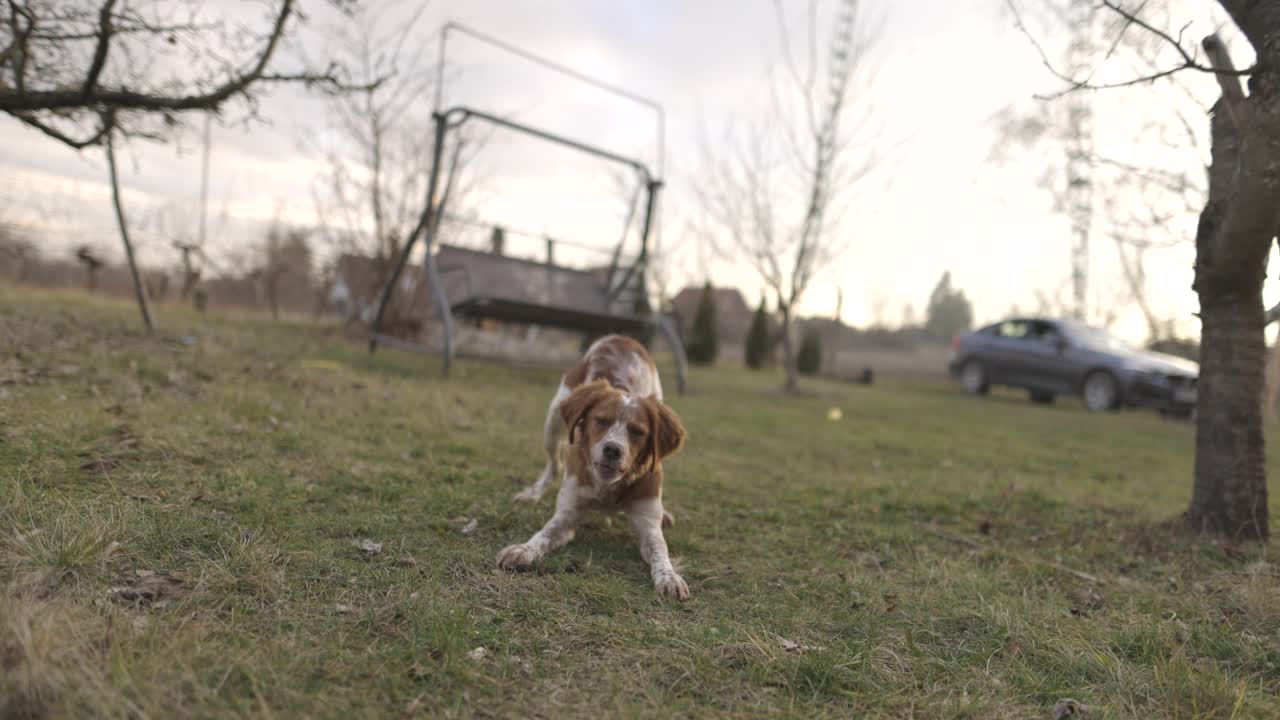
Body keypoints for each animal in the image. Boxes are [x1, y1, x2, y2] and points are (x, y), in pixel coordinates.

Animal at [496, 333, 691, 597]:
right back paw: (532, 494)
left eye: (637, 431)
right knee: (554, 464)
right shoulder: (567, 514)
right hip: (553, 422)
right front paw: (522, 550)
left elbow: (661, 551)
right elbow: (543, 533)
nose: (612, 449)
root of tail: (621, 338)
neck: (608, 488)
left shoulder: (648, 524)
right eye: (601, 420)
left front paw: (669, 577)